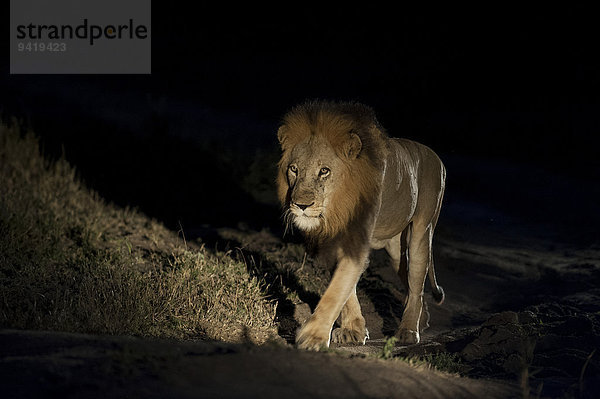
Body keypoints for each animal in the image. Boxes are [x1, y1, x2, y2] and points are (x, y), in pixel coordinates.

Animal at [276, 101, 446, 352]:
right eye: (294, 169)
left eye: (324, 170)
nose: (301, 205)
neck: (338, 204)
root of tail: (437, 158)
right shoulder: (335, 238)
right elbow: (346, 289)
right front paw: (353, 330)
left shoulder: (357, 239)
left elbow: (336, 289)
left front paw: (314, 336)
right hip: (396, 250)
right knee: (409, 280)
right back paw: (422, 320)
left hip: (421, 232)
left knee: (416, 283)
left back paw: (408, 331)